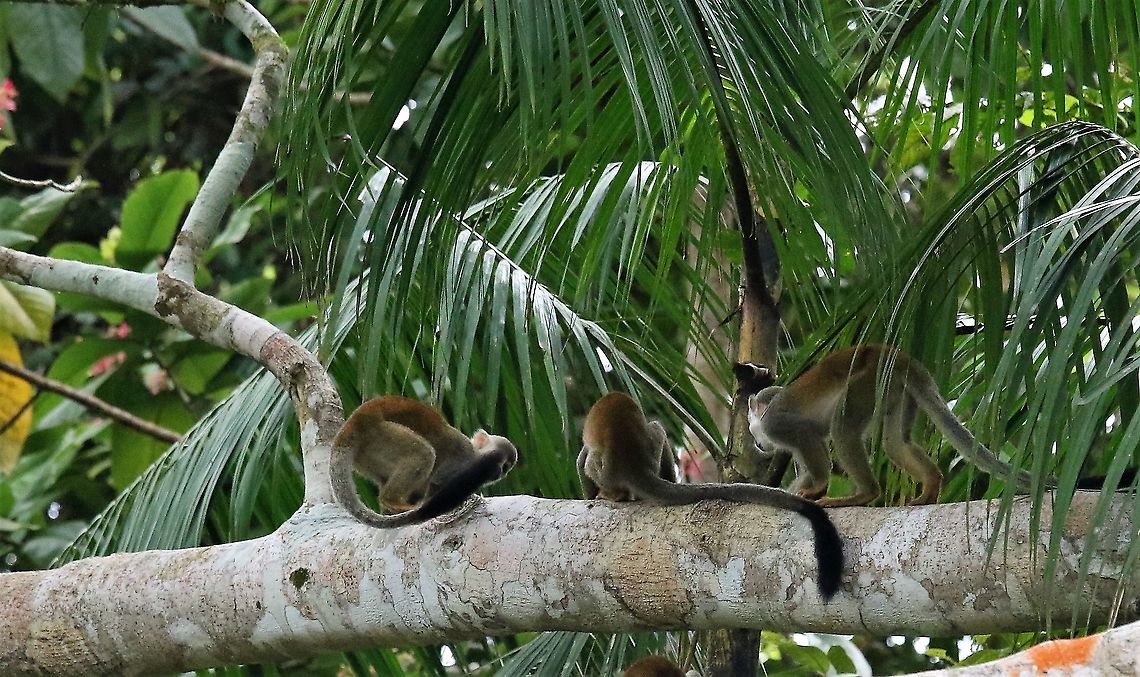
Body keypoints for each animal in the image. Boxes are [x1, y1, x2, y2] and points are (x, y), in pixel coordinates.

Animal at [330, 395, 518, 528]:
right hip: (379, 435)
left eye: (506, 469)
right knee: (424, 453)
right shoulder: (463, 456)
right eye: (502, 465)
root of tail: (352, 425)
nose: (499, 473)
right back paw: (391, 500)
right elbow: (437, 481)